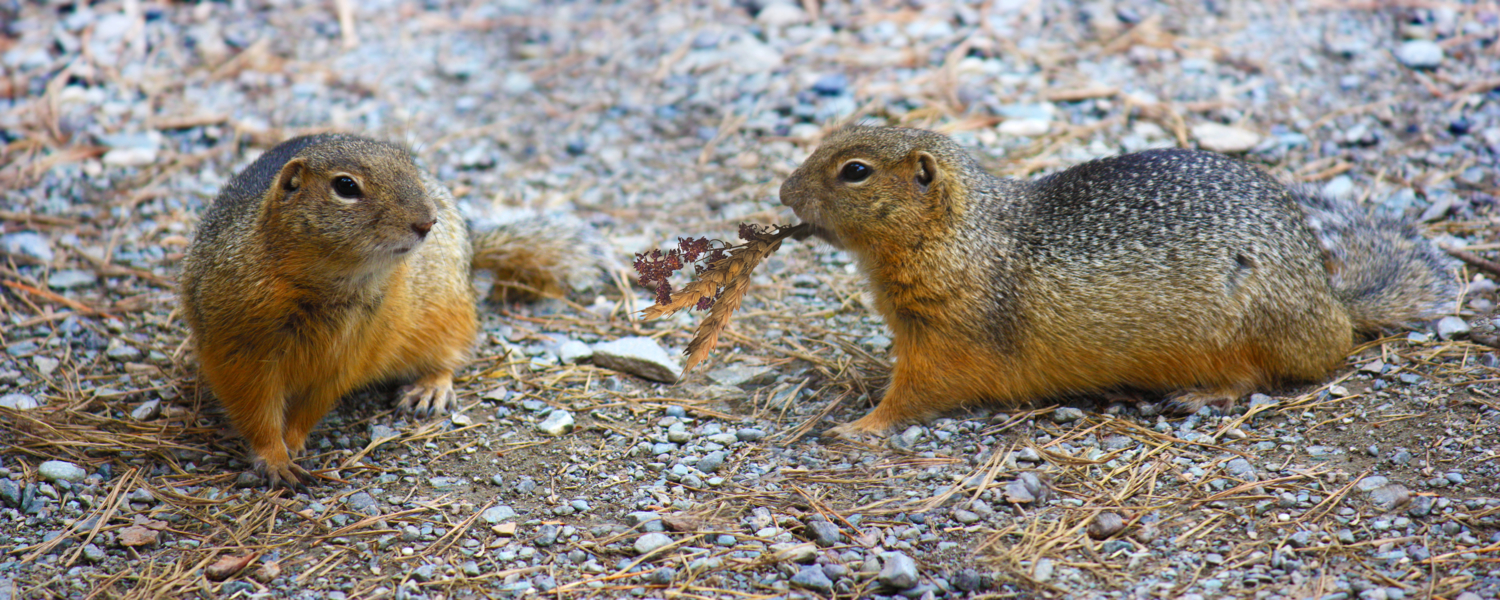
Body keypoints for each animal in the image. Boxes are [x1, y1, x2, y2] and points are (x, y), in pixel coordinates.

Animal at [187, 132, 603, 486]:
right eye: (346, 186)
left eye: (410, 168)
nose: (427, 221)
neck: (329, 287)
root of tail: (472, 252)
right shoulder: (239, 350)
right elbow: (255, 410)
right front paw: (276, 458)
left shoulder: (347, 355)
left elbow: (312, 405)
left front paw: (294, 440)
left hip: (446, 314)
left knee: (451, 354)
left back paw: (429, 389)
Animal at [780, 125, 1458, 435]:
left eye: (855, 171)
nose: (783, 192)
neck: (963, 235)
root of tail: (1332, 306)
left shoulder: (951, 338)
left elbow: (917, 393)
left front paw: (856, 427)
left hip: (1245, 332)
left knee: (1257, 377)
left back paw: (1202, 396)